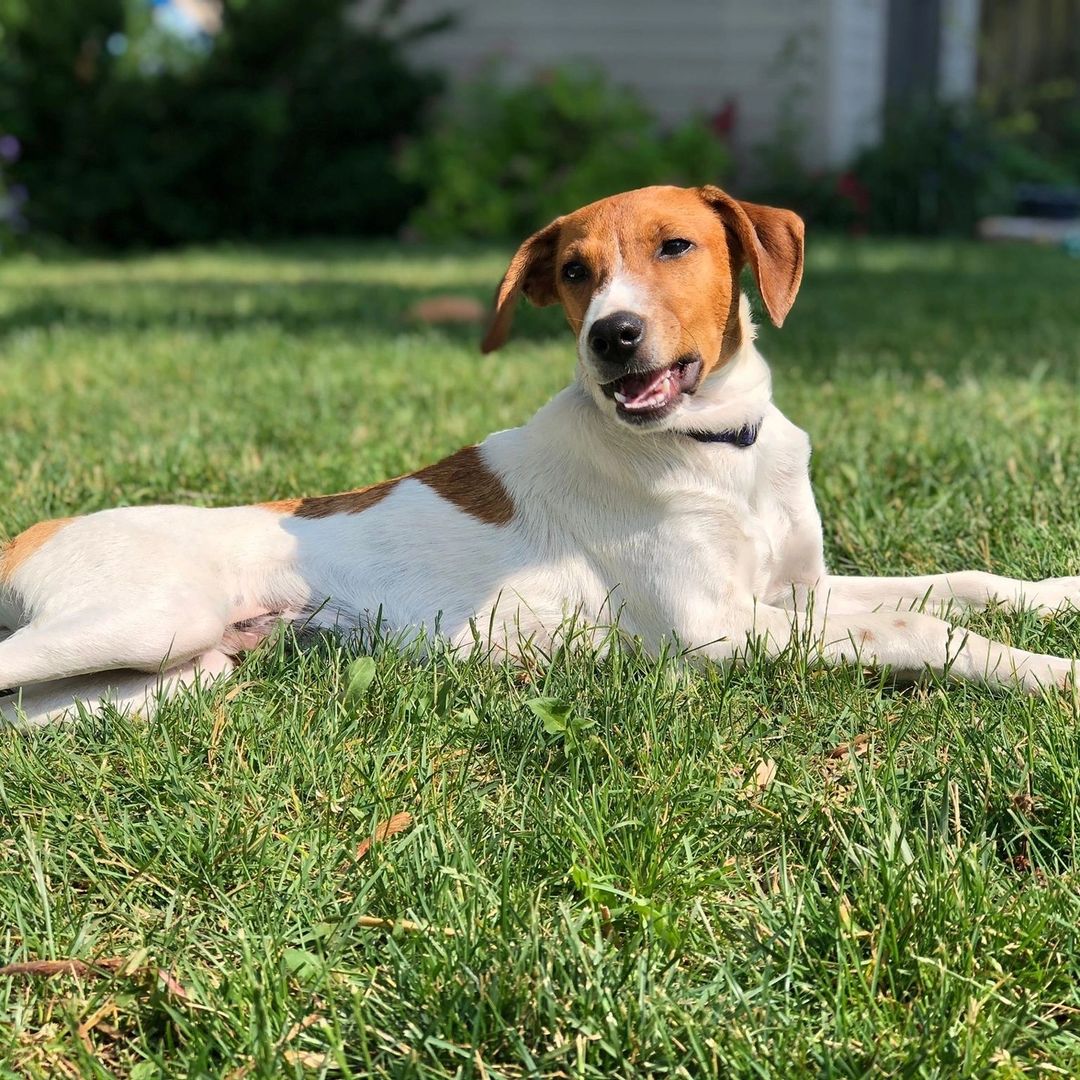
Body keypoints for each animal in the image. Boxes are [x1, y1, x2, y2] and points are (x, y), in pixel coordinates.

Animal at [2, 185, 1080, 725]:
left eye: (677, 247)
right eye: (572, 271)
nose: (612, 338)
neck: (717, 451)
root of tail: (40, 527)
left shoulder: (796, 591)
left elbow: (960, 583)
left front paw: (1058, 598)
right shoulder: (713, 629)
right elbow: (913, 626)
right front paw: (1046, 673)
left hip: (189, 666)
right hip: (150, 617)